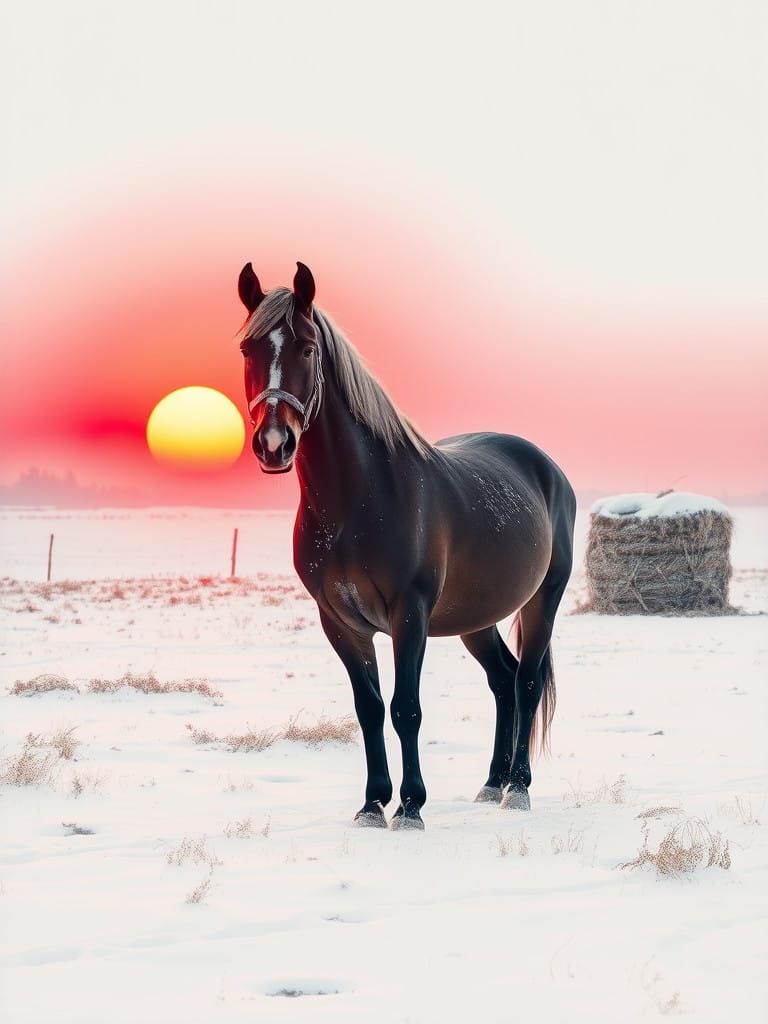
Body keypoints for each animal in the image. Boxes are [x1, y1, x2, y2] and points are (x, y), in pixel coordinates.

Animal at [237, 261, 576, 830]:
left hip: (541, 601)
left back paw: (518, 788)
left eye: (307, 348)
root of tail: (546, 467)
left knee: (526, 682)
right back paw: (493, 782)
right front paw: (373, 803)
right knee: (503, 680)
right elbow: (370, 708)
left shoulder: (408, 614)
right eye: (248, 348)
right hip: (476, 619)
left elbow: (405, 708)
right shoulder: (340, 622)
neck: (358, 500)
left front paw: (411, 806)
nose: (274, 444)